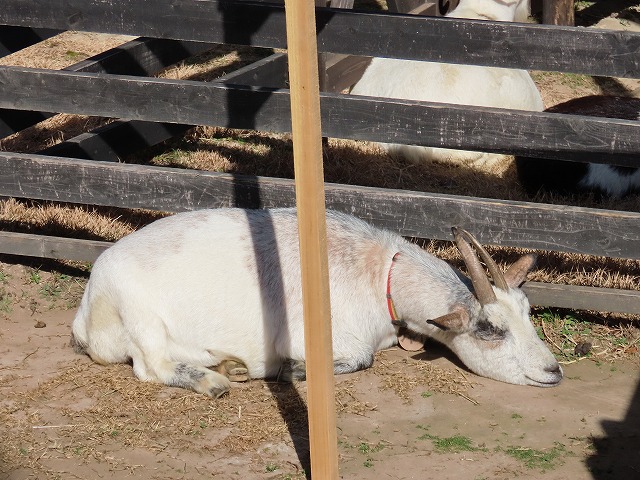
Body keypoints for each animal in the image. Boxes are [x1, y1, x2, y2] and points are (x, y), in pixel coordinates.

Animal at [71, 208, 562, 398]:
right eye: (490, 329)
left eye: (528, 312)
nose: (553, 371)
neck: (378, 275)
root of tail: (85, 314)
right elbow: (359, 358)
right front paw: (284, 370)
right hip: (140, 315)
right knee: (151, 367)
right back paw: (216, 381)